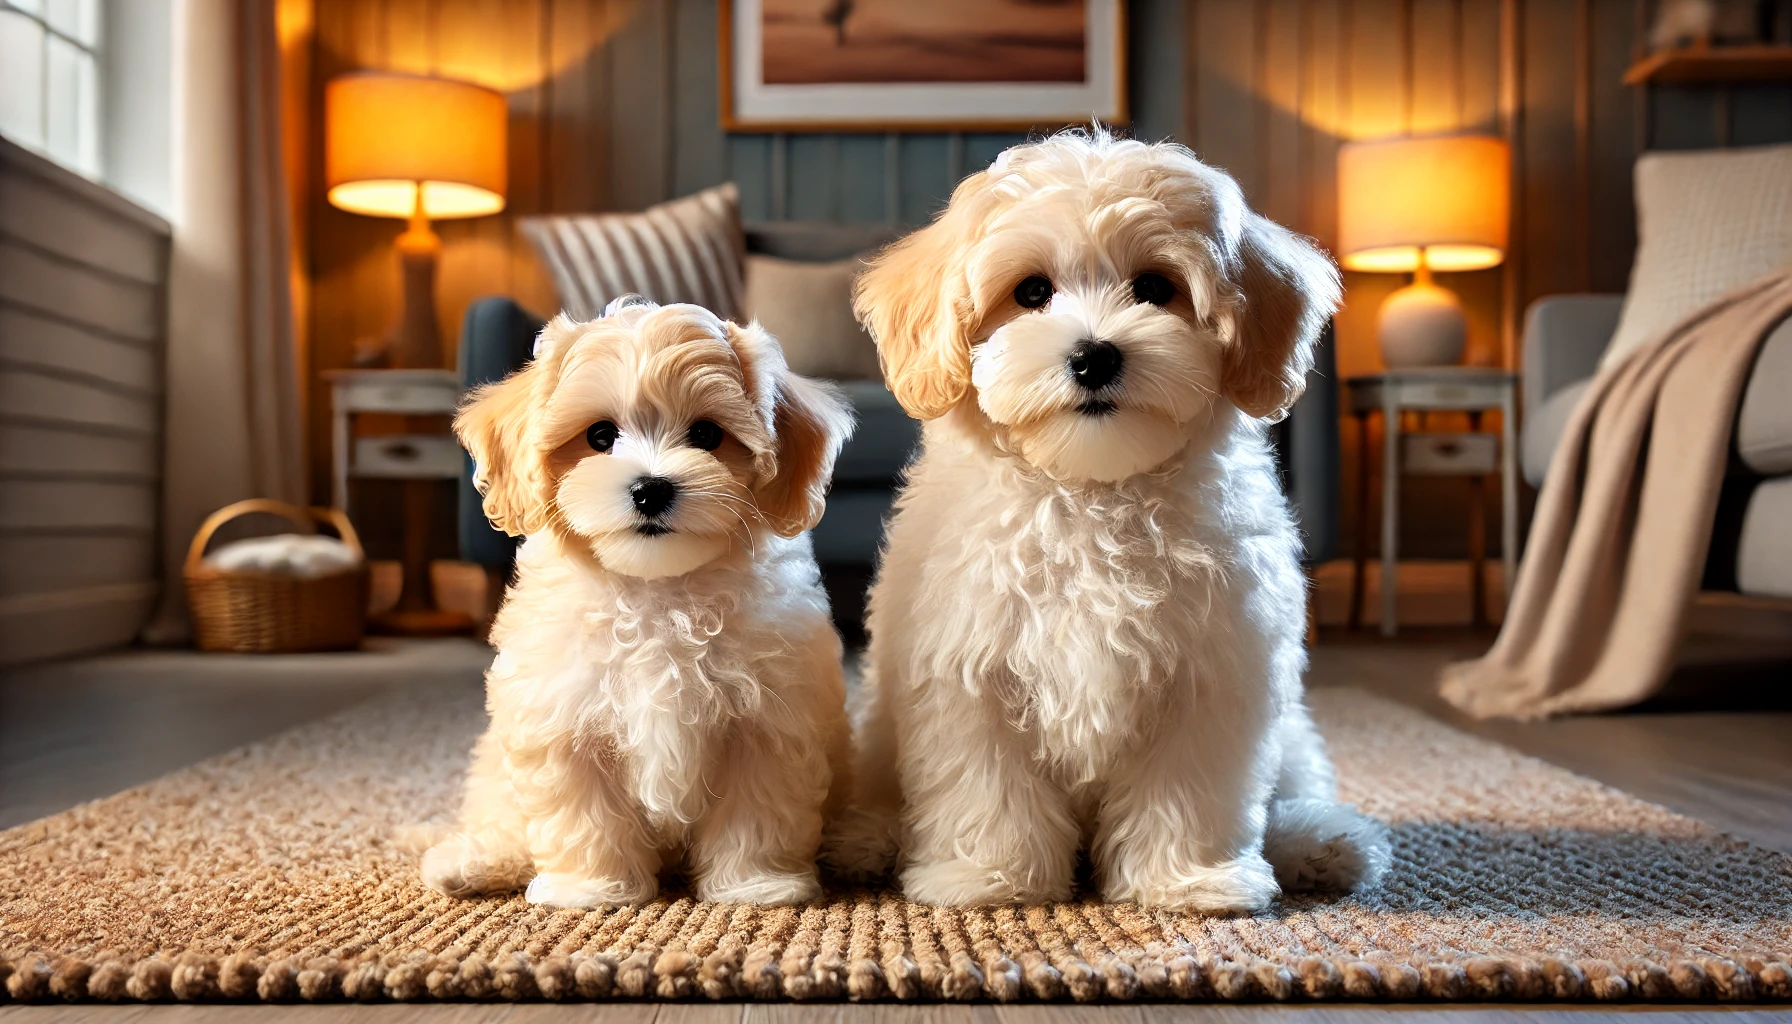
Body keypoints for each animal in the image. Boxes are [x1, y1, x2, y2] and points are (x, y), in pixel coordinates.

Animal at [430, 301, 856, 911]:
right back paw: (473, 862)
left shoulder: (767, 722)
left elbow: (757, 809)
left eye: (706, 433)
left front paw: (756, 885)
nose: (651, 488)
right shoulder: (563, 719)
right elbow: (582, 815)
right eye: (600, 435)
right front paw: (589, 889)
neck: (657, 591)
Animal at [831, 130, 1390, 914]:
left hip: (1294, 739)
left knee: (1295, 786)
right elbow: (987, 785)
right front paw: (991, 876)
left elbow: (1187, 789)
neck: (1090, 491)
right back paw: (868, 837)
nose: (1094, 356)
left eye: (1155, 287)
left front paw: (1188, 880)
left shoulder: (1211, 670)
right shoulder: (969, 674)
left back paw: (1319, 840)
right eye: (1032, 292)